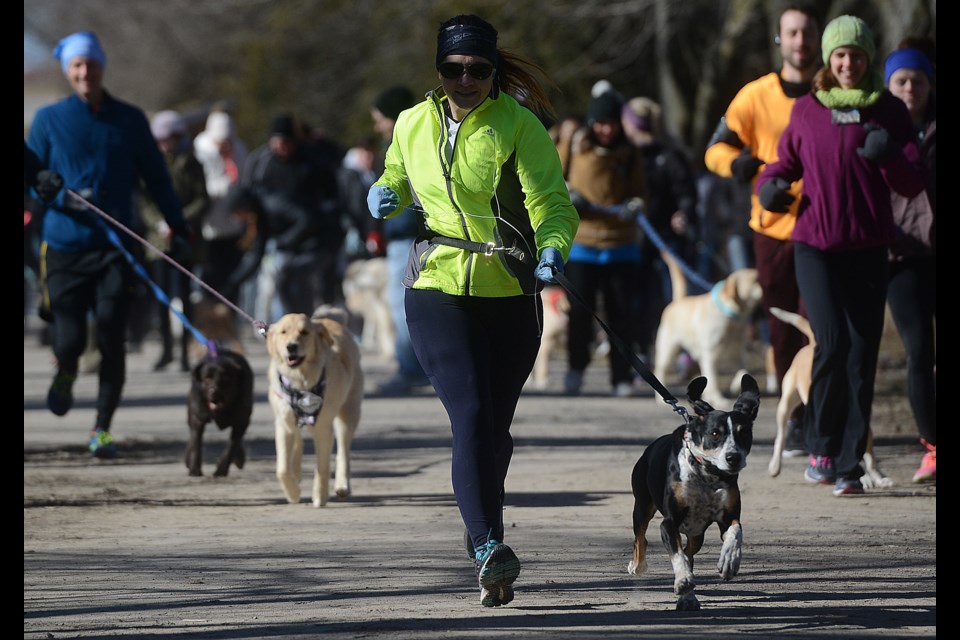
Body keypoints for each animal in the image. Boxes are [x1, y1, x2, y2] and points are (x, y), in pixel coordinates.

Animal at [186, 348, 255, 478]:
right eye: (207, 378)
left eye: (226, 378)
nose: (214, 391)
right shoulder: (198, 417)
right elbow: (196, 443)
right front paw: (195, 470)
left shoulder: (241, 421)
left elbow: (232, 446)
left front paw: (221, 470)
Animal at [266, 308, 364, 508]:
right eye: (283, 332)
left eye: (304, 332)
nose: (291, 347)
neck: (300, 380)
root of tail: (329, 319)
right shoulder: (283, 424)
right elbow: (282, 469)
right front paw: (293, 493)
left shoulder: (323, 428)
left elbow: (322, 467)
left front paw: (320, 496)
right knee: (298, 441)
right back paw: (296, 472)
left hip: (348, 413)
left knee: (343, 452)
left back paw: (342, 485)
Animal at [628, 376, 760, 608]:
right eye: (715, 433)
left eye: (744, 433)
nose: (733, 458)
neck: (706, 475)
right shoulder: (669, 522)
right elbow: (677, 555)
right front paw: (682, 581)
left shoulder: (728, 516)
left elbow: (735, 532)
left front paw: (729, 561)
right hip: (642, 506)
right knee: (641, 537)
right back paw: (638, 566)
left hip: (697, 534)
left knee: (690, 553)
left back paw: (688, 598)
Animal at [764, 308, 892, 488]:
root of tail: (811, 345)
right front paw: (863, 478)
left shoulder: (863, 433)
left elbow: (869, 458)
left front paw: (878, 477)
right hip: (786, 402)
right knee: (780, 437)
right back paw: (775, 465)